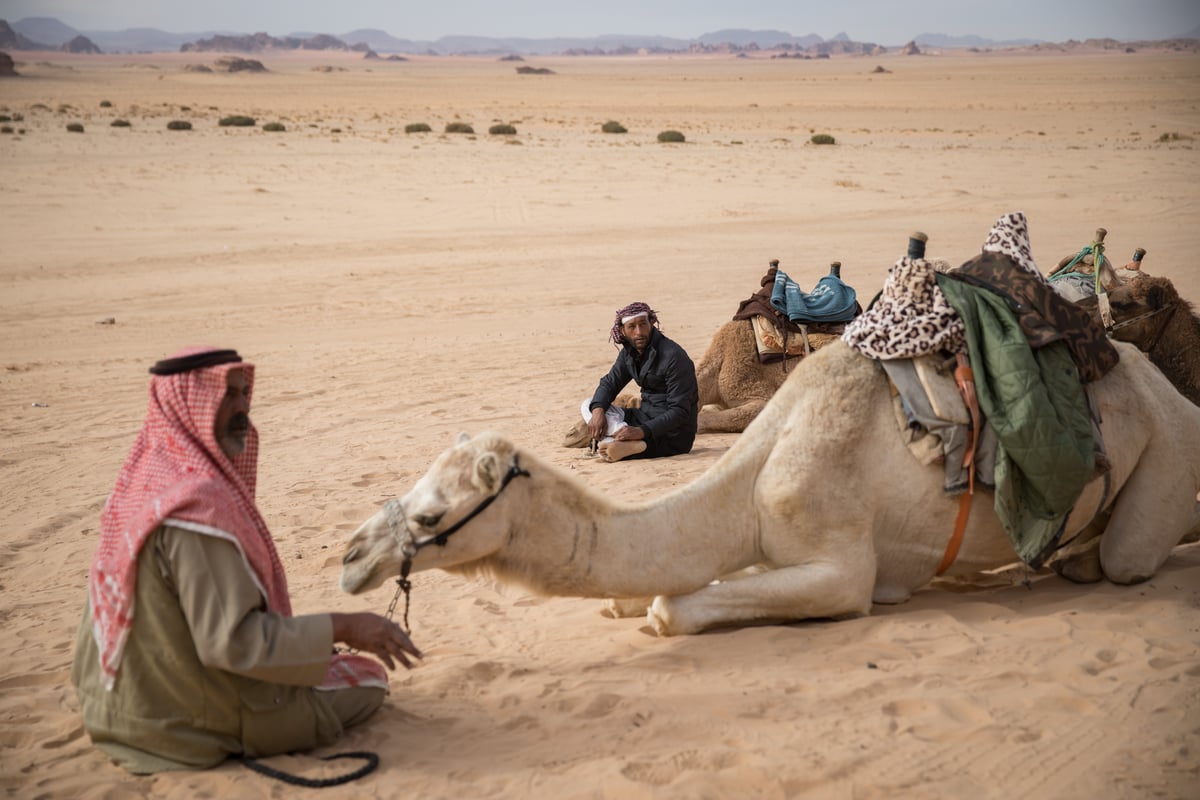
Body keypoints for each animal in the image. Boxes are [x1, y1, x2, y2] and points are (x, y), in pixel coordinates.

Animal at [340, 338, 1200, 638]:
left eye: (431, 514)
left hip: (1165, 456)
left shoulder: (840, 565)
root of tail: (1171, 389)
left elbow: (667, 607)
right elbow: (654, 590)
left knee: (1127, 554)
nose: (350, 557)